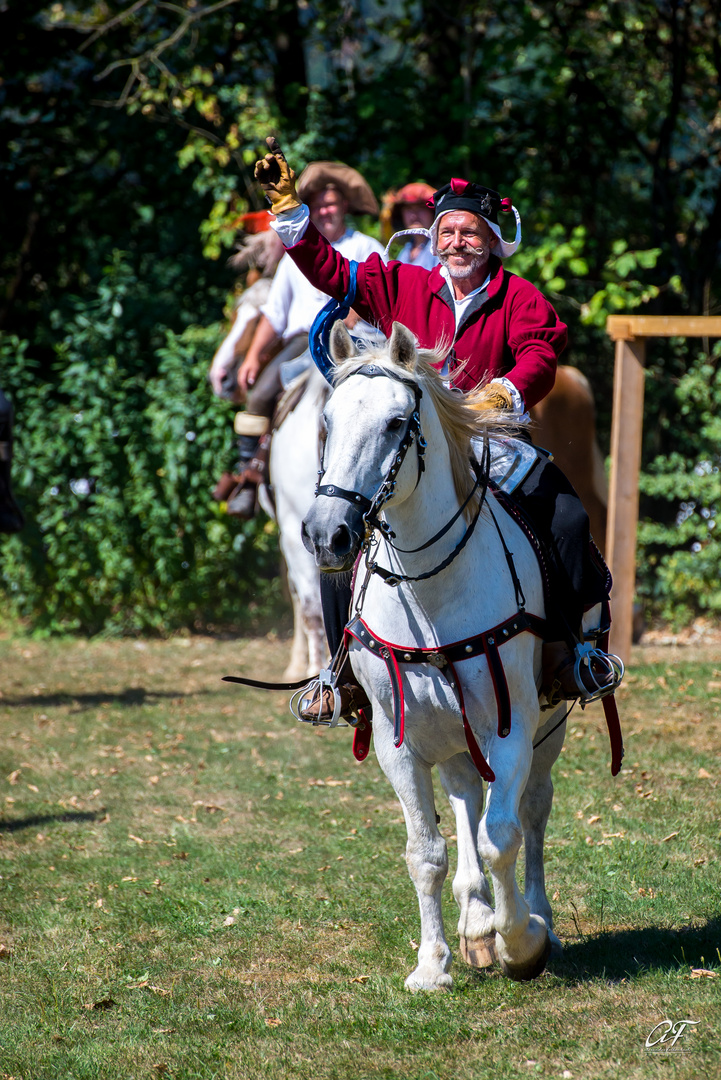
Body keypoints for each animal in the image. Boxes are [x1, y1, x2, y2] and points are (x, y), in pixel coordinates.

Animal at [297, 321, 569, 993]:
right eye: (327, 421)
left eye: (397, 422)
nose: (327, 533)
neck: (431, 589)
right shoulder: (398, 741)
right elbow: (427, 852)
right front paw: (433, 963)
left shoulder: (514, 728)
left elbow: (504, 837)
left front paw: (522, 942)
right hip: (452, 733)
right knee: (467, 797)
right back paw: (475, 921)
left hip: (548, 728)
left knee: (532, 810)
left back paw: (536, 919)